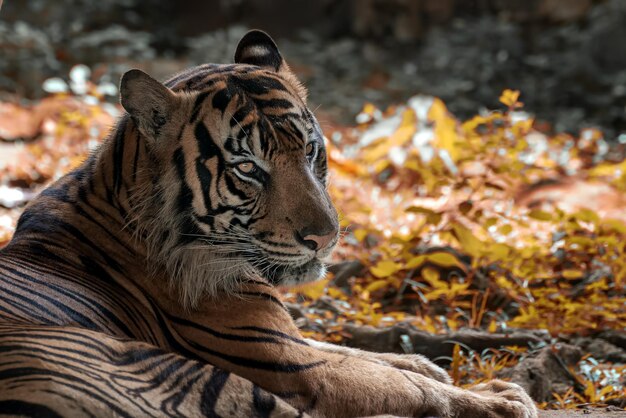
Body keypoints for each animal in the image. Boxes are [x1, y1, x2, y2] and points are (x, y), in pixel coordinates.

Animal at [0, 30, 536, 418]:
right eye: (248, 169)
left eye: (311, 150)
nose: (325, 237)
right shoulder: (289, 362)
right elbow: (403, 385)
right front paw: (501, 399)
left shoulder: (291, 340)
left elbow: (358, 352)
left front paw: (424, 362)